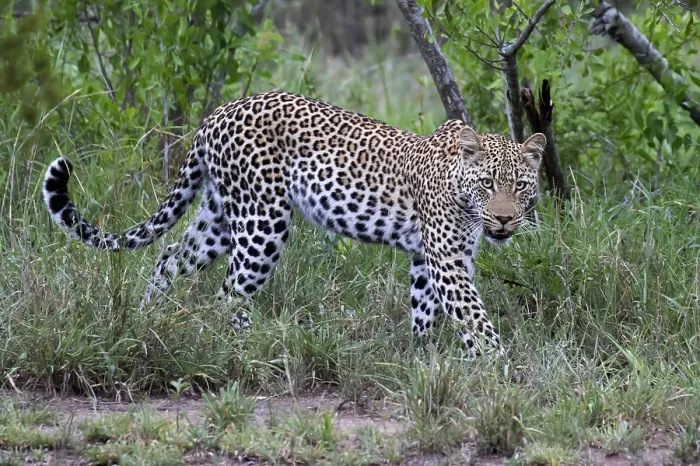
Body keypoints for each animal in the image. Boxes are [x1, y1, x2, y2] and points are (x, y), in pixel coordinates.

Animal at [43, 91, 545, 356]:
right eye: (487, 184)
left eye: (520, 185)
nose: (504, 219)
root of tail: (216, 114)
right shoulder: (446, 258)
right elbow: (473, 316)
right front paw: (498, 370)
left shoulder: (430, 258)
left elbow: (426, 310)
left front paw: (421, 356)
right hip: (263, 222)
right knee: (229, 291)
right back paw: (246, 346)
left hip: (220, 217)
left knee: (169, 257)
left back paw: (150, 318)